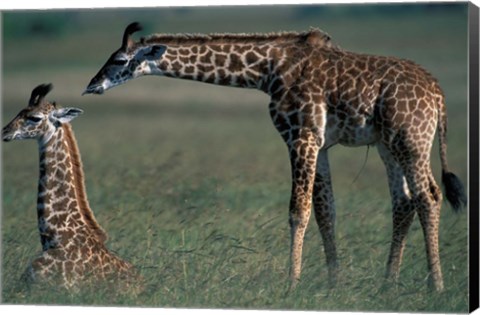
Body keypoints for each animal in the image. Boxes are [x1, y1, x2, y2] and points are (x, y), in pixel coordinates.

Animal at [82, 22, 464, 294]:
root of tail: (439, 94)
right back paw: (388, 284)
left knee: (429, 196)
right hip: (388, 145)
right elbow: (325, 212)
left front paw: (290, 285)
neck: (266, 70)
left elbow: (299, 210)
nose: (91, 86)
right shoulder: (321, 143)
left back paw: (436, 286)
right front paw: (333, 284)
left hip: (411, 140)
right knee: (403, 202)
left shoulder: (301, 135)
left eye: (119, 60)